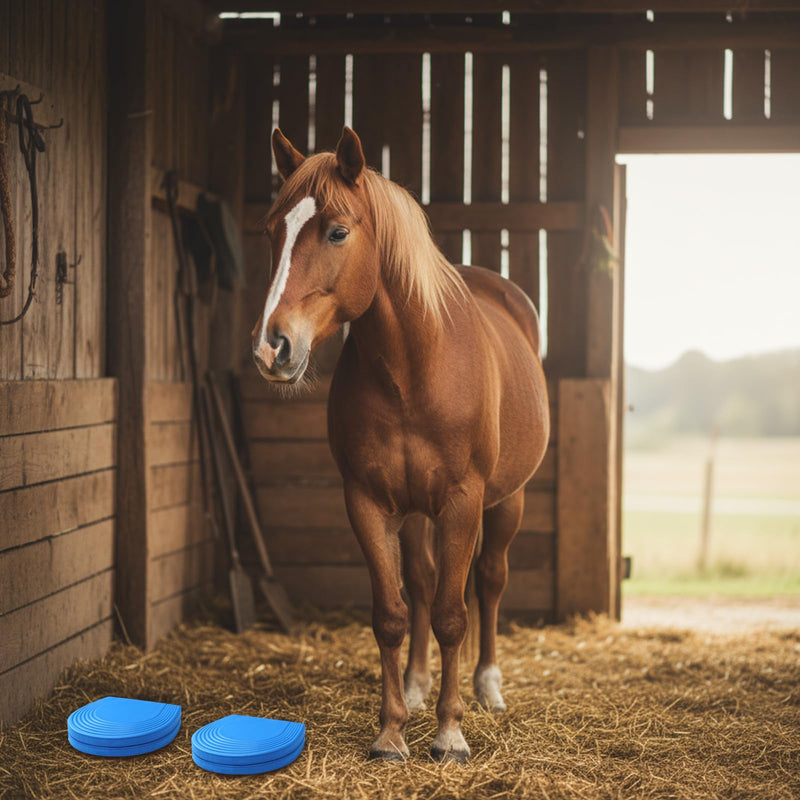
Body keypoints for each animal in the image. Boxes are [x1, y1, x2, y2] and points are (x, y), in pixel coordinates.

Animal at [252, 126, 550, 763]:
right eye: (271, 231)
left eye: (338, 231)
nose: (271, 348)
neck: (414, 368)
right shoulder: (367, 501)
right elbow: (393, 612)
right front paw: (392, 730)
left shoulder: (463, 502)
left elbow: (454, 615)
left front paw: (450, 733)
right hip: (414, 512)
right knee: (421, 583)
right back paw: (415, 685)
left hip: (505, 500)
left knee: (489, 580)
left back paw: (488, 686)